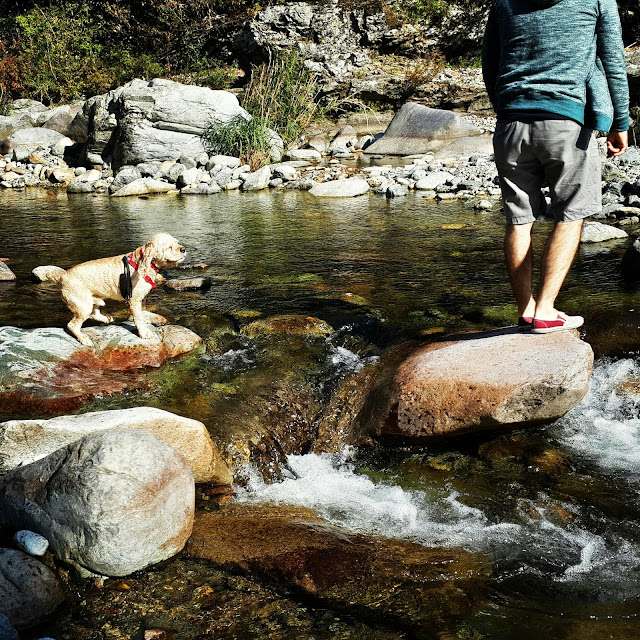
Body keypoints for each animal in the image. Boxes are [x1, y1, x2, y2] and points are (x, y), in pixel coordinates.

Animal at [41, 233, 186, 346]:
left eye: (177, 242)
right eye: (169, 247)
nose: (183, 249)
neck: (142, 262)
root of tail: (62, 277)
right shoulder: (134, 299)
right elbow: (138, 318)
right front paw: (144, 333)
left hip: (94, 300)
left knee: (94, 313)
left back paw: (107, 319)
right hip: (83, 305)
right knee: (72, 325)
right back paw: (85, 339)